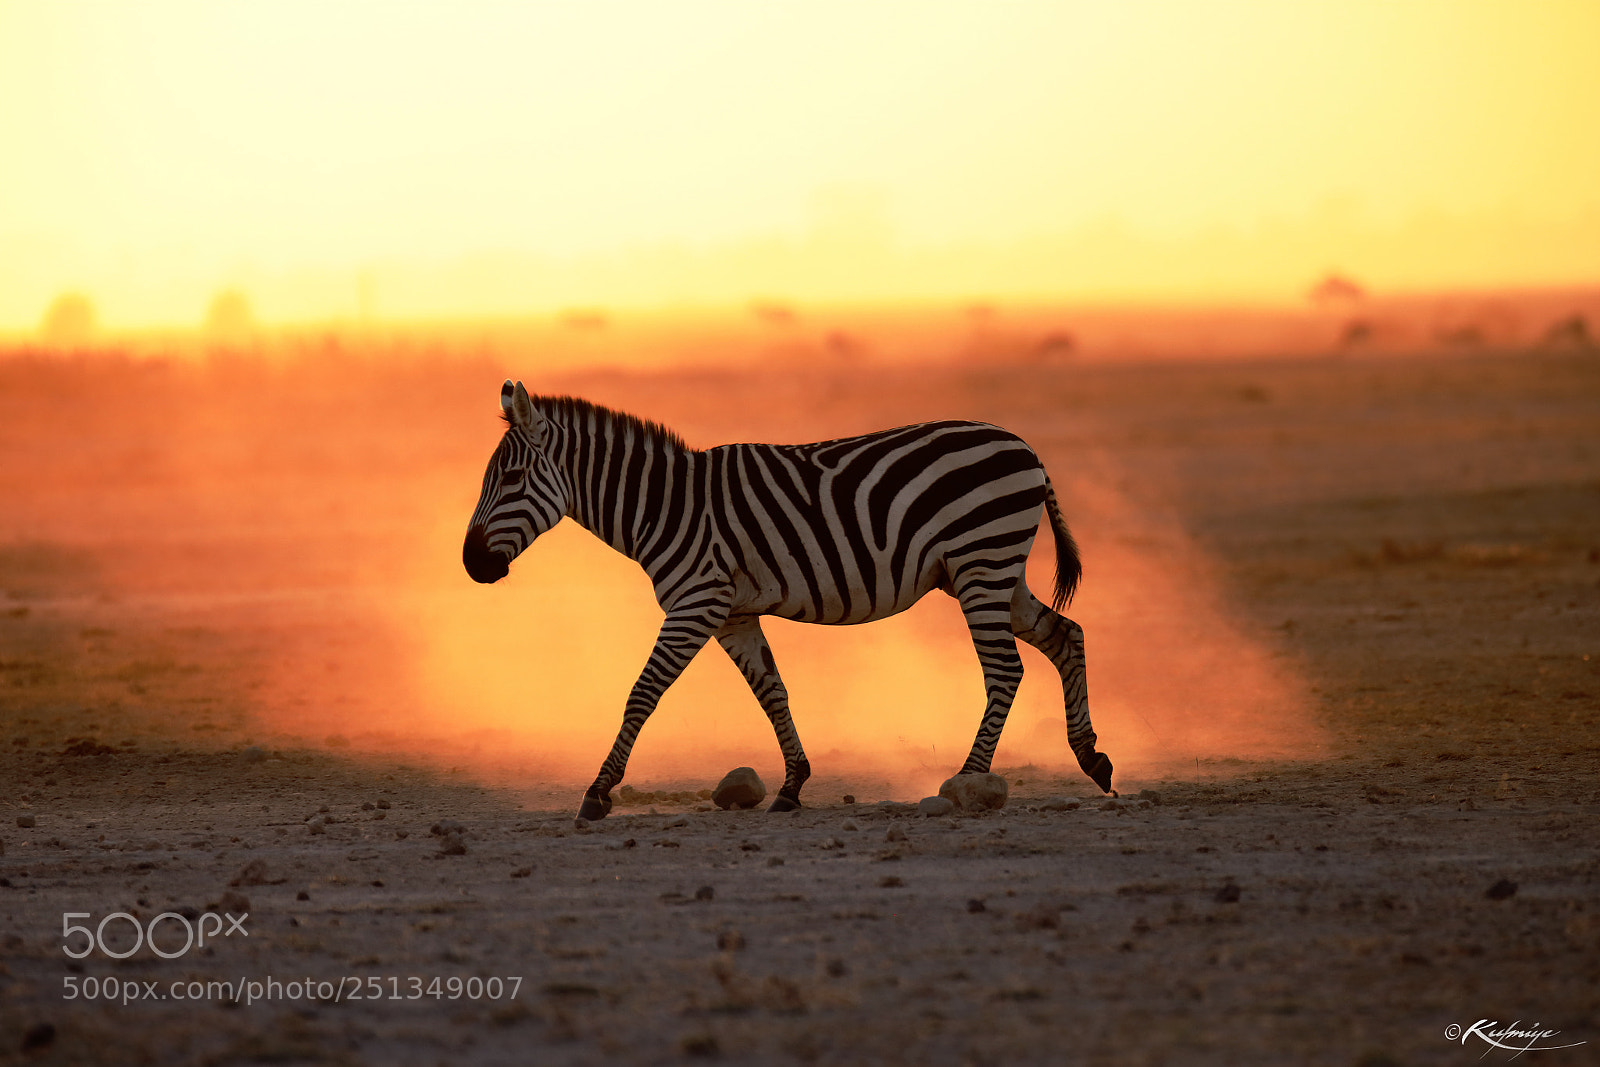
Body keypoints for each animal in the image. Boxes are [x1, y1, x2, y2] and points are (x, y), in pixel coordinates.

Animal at [463, 380, 1114, 820]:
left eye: (512, 480)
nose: (471, 564)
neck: (664, 507)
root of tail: (1024, 446)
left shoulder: (696, 602)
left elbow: (642, 694)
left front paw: (598, 793)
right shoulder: (733, 613)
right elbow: (772, 691)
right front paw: (793, 784)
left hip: (983, 560)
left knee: (1006, 669)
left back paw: (968, 782)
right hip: (991, 570)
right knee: (1067, 634)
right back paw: (1091, 758)